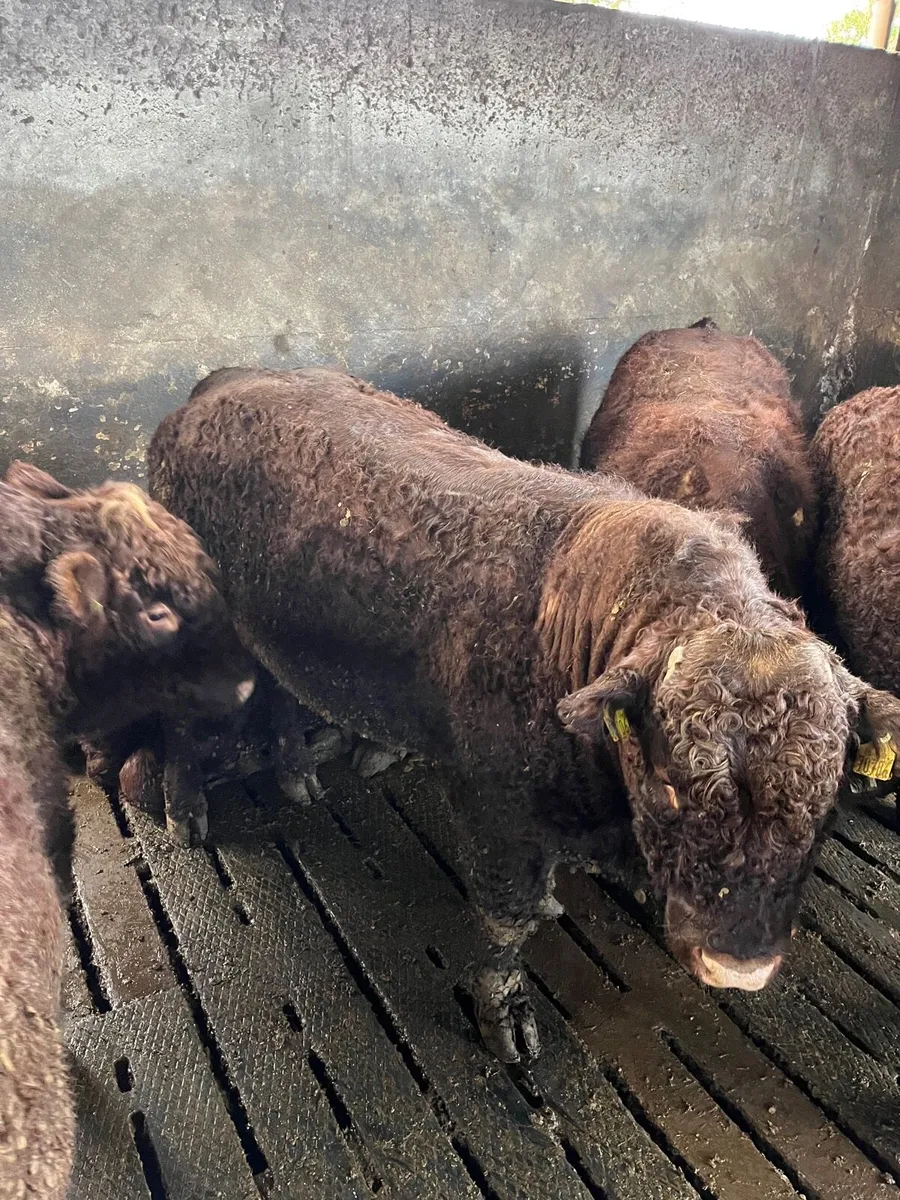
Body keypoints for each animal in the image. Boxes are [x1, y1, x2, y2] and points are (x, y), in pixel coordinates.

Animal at [147, 368, 900, 1064]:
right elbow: (506, 923)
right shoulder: (498, 814)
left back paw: (302, 768)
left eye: (828, 803)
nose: (737, 965)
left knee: (276, 693)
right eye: (668, 785)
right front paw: (505, 1014)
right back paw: (186, 809)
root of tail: (219, 384)